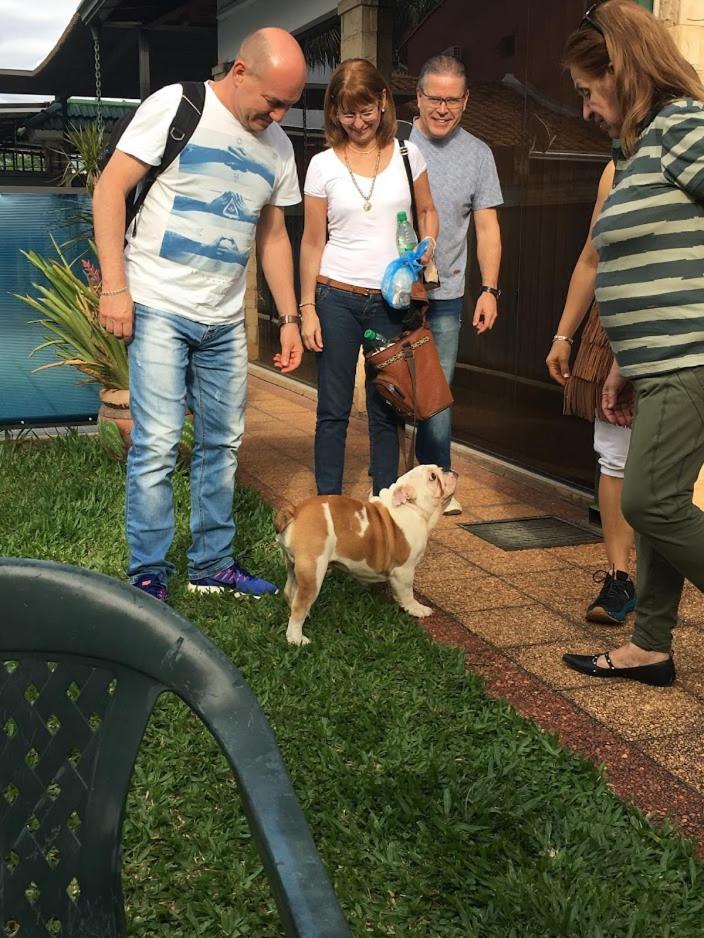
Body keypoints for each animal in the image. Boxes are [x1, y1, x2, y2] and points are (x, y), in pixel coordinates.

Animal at [274, 465, 458, 645]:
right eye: (433, 477)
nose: (449, 469)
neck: (411, 508)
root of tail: (295, 511)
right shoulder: (404, 570)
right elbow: (407, 593)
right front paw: (416, 608)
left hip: (293, 565)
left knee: (290, 591)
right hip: (313, 571)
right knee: (299, 606)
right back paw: (296, 638)